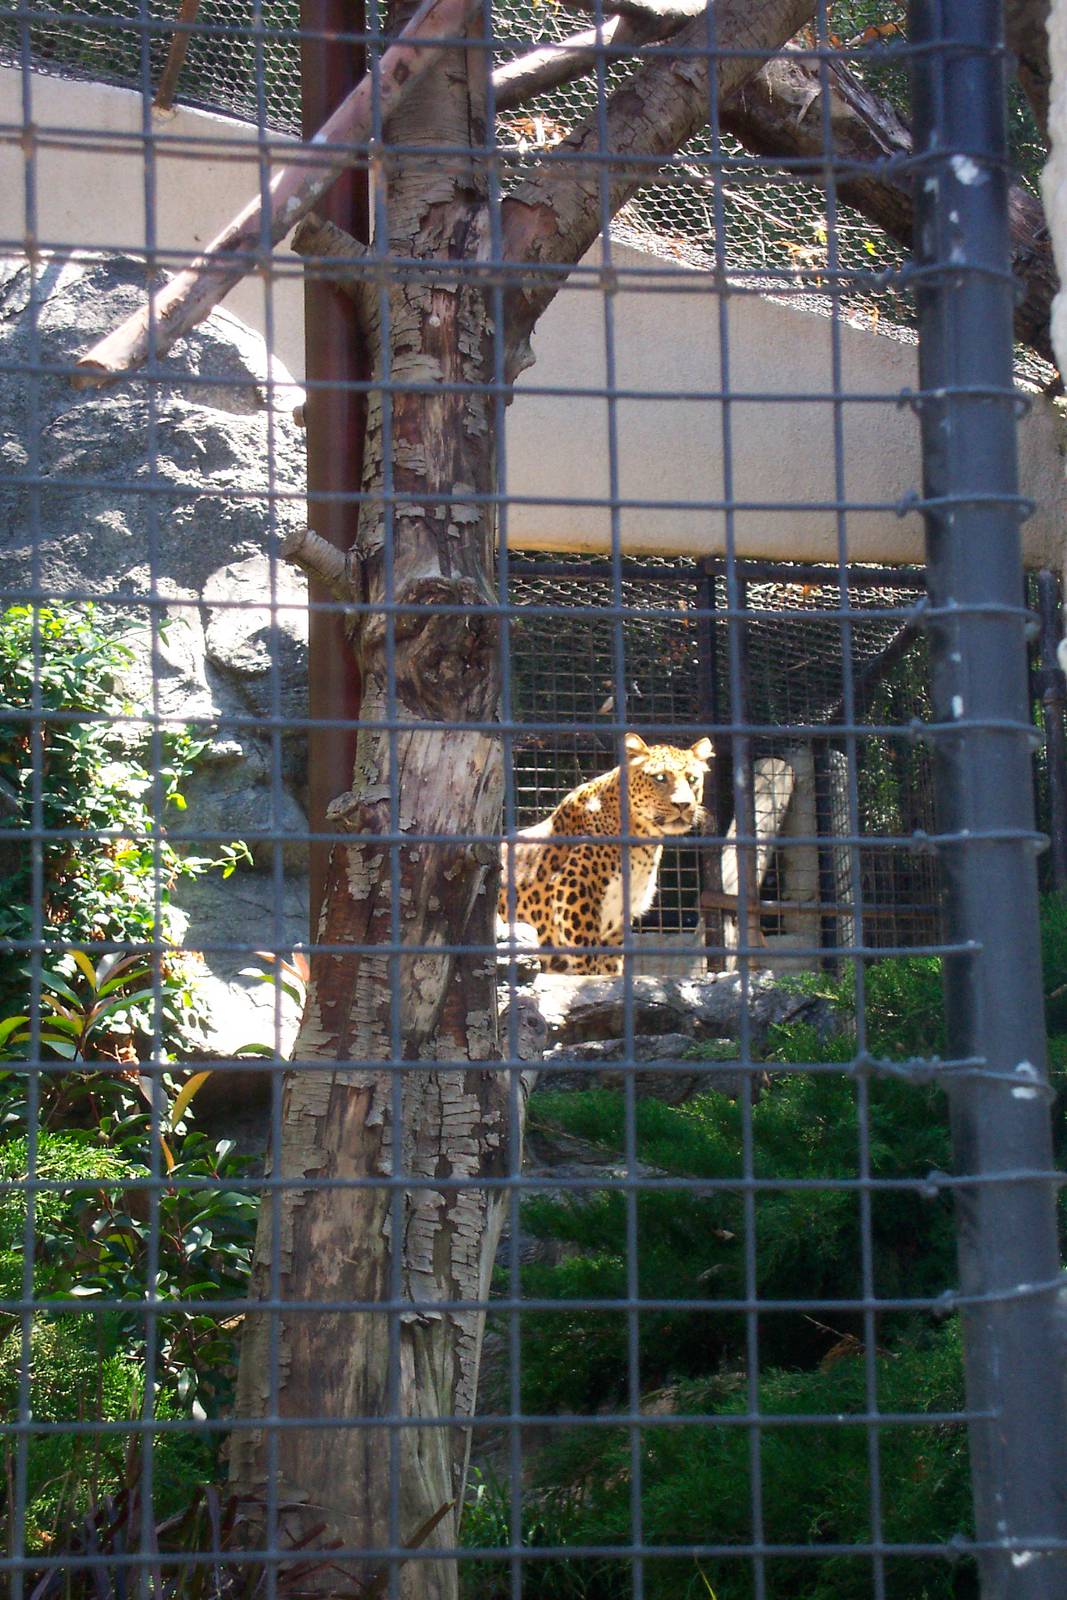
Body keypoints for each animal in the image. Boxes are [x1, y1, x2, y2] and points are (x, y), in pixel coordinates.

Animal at [498, 732, 713, 975]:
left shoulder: (618, 919)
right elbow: (586, 958)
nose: (683, 804)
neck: (644, 842)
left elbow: (610, 964)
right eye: (660, 778)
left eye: (692, 779)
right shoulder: (574, 895)